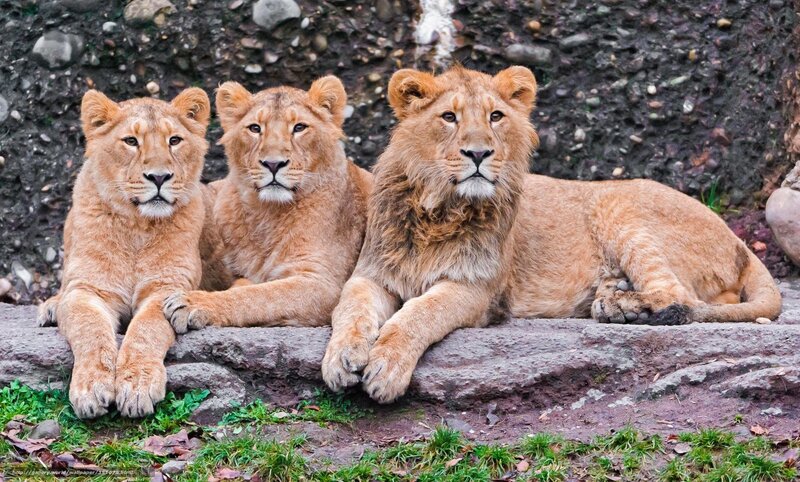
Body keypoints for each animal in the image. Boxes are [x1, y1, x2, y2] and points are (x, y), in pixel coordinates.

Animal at [37, 88, 213, 418]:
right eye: (131, 141)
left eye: (174, 140)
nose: (159, 177)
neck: (137, 227)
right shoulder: (88, 289)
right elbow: (90, 329)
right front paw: (91, 388)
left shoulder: (166, 288)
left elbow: (147, 330)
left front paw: (137, 385)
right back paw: (51, 307)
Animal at [162, 76, 372, 331]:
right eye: (255, 128)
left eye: (299, 127)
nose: (273, 164)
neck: (268, 213)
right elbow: (251, 288)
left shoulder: (326, 285)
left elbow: (261, 295)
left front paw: (193, 303)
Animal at [321, 66, 782, 404]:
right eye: (448, 117)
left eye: (495, 116)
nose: (478, 153)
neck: (439, 209)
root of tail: (738, 239)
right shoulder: (371, 274)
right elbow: (349, 310)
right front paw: (341, 359)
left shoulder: (476, 289)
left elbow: (418, 315)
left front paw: (385, 368)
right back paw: (614, 299)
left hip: (616, 202)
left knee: (683, 297)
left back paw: (626, 308)